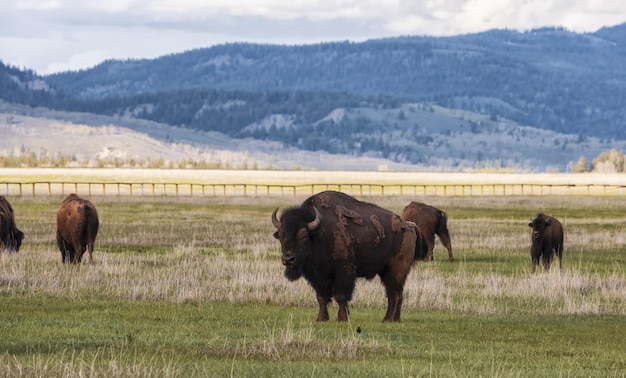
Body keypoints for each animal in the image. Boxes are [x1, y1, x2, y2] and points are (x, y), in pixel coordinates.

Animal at [272, 190, 414, 324]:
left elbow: (340, 296)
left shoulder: (343, 271)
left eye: (303, 235)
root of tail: (407, 227)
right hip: (386, 271)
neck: (320, 233)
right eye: (281, 236)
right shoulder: (318, 277)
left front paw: (342, 319)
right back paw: (395, 319)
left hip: (396, 271)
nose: (288, 259)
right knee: (398, 294)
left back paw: (387, 319)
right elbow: (321, 298)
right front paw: (321, 318)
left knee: (394, 294)